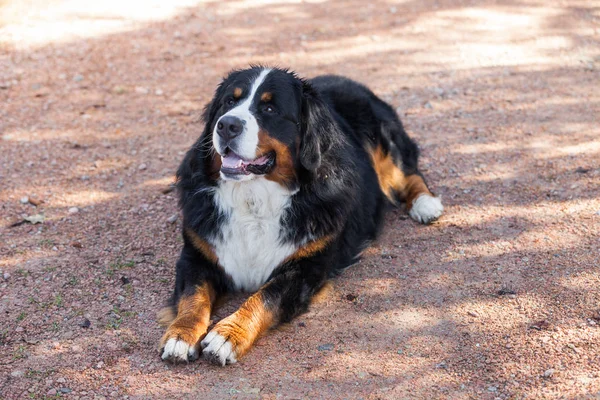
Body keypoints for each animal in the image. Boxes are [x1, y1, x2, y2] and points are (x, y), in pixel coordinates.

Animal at [157, 65, 442, 366]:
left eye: (269, 108)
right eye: (229, 102)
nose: (226, 125)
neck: (254, 199)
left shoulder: (305, 268)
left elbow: (264, 297)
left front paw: (228, 335)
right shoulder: (196, 255)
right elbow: (194, 298)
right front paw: (180, 335)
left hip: (381, 141)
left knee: (408, 172)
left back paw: (426, 205)